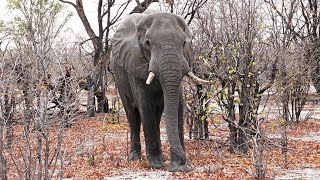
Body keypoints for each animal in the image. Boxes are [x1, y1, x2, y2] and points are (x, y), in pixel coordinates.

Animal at [111, 9, 209, 172]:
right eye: (148, 43)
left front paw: (178, 166)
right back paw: (134, 158)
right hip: (119, 77)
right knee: (132, 114)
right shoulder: (134, 63)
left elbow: (179, 106)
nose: (185, 165)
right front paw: (156, 165)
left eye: (184, 43)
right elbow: (145, 105)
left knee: (156, 115)